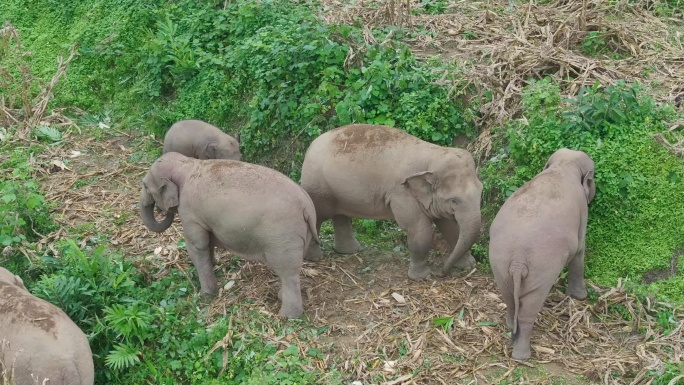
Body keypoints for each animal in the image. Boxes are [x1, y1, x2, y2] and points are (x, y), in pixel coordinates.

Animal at [141, 152, 320, 316]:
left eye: (146, 187)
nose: (163, 211)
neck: (187, 164)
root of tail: (307, 206)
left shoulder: (190, 213)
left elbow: (197, 245)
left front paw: (206, 296)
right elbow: (207, 242)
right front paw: (213, 265)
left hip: (283, 237)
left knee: (288, 272)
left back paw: (287, 316)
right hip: (303, 234)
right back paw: (281, 298)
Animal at [302, 124, 484, 278]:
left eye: (481, 192)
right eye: (454, 201)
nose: (440, 273)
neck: (433, 154)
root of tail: (311, 145)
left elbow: (450, 227)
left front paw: (468, 266)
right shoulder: (402, 193)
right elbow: (418, 227)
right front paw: (422, 277)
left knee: (340, 215)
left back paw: (349, 251)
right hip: (317, 187)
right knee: (317, 218)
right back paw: (315, 258)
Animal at [488, 148, 596, 360]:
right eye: (593, 176)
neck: (563, 165)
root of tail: (518, 260)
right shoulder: (582, 213)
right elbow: (579, 250)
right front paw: (581, 297)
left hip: (499, 263)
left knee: (509, 299)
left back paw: (511, 328)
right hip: (541, 269)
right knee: (529, 308)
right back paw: (522, 355)